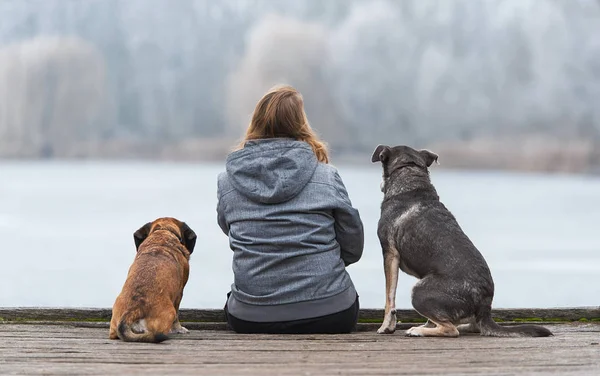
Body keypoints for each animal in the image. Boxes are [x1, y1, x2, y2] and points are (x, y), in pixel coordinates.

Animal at [370, 145, 552, 338]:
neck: (409, 176)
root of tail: (484, 307)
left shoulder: (390, 254)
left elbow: (389, 298)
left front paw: (386, 327)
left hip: (419, 291)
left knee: (451, 330)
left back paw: (417, 330)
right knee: (470, 326)